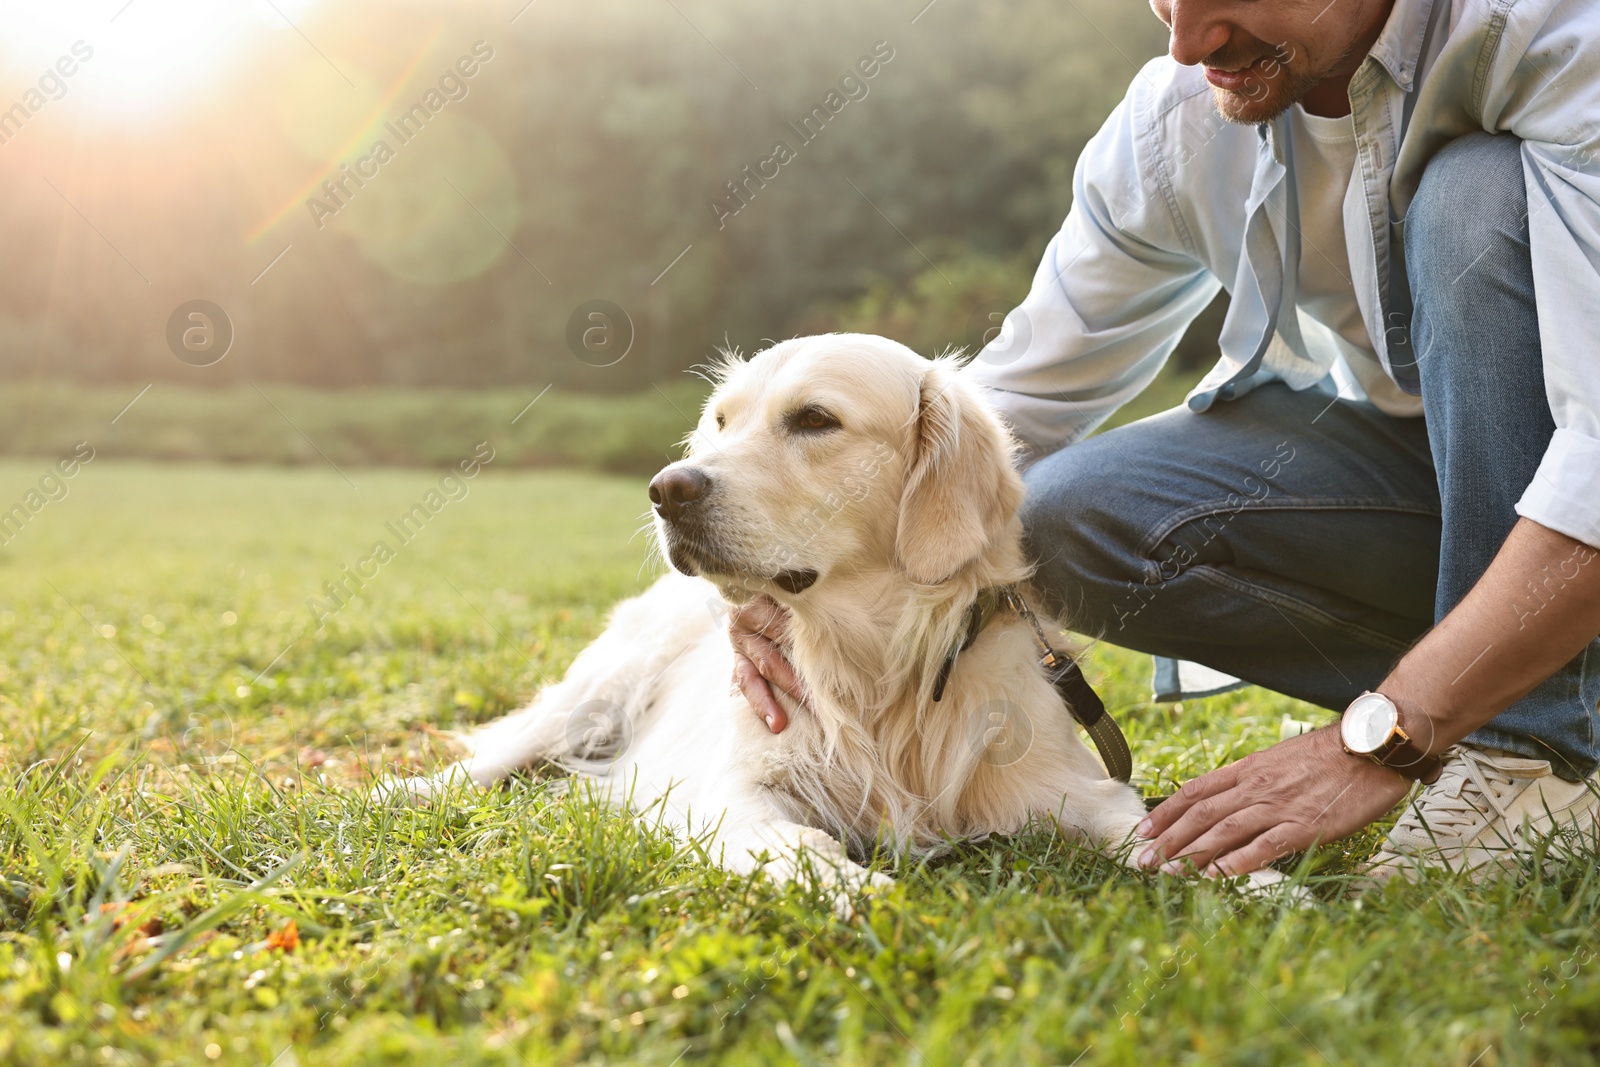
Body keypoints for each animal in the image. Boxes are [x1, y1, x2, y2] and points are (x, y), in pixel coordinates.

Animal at [372, 334, 1152, 902]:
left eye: (815, 419)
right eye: (721, 421)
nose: (666, 489)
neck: (870, 667)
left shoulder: (1066, 782)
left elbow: (1138, 825)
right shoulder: (739, 789)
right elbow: (804, 843)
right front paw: (861, 892)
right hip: (600, 690)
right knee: (496, 756)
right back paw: (398, 793)